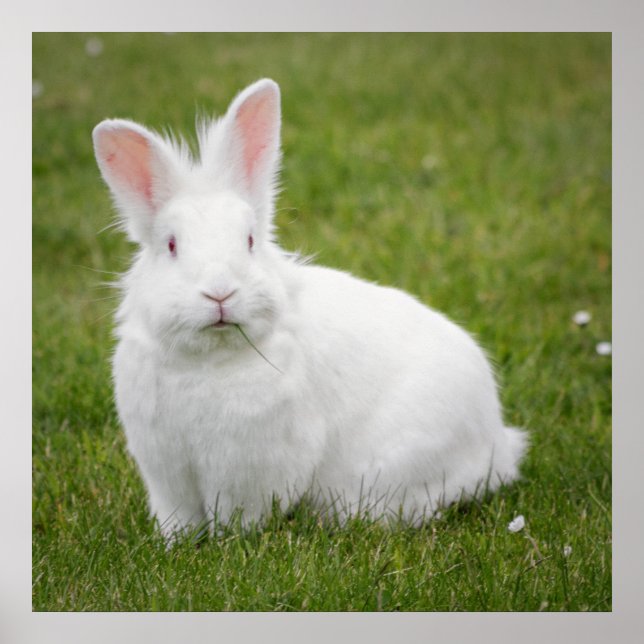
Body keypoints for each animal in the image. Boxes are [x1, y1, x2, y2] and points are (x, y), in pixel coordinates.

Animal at [93, 78, 527, 539]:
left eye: (250, 241)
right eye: (172, 246)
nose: (219, 293)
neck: (209, 360)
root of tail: (497, 440)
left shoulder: (250, 472)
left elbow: (238, 517)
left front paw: (230, 542)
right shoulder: (168, 477)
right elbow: (177, 520)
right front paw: (174, 544)